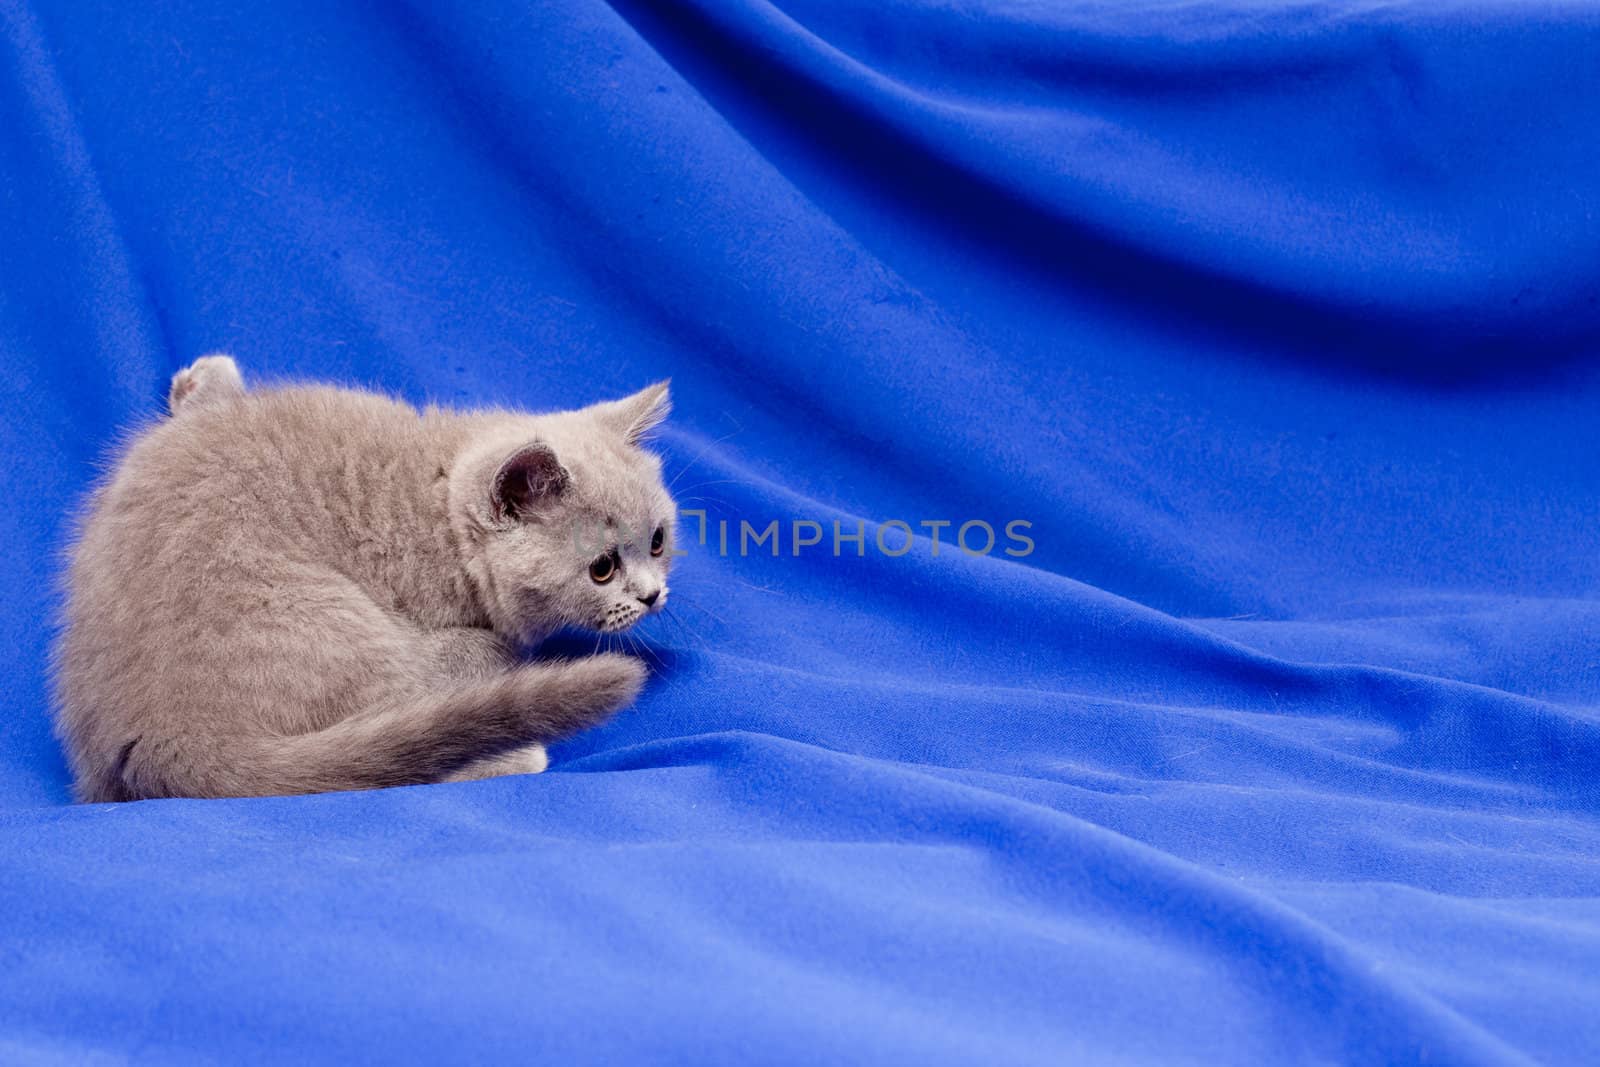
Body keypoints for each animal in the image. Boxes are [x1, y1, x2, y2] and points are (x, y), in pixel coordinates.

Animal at [51, 358, 675, 799]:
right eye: (602, 568)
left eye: (658, 541)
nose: (652, 595)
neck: (439, 517)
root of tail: (155, 733)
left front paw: (203, 380)